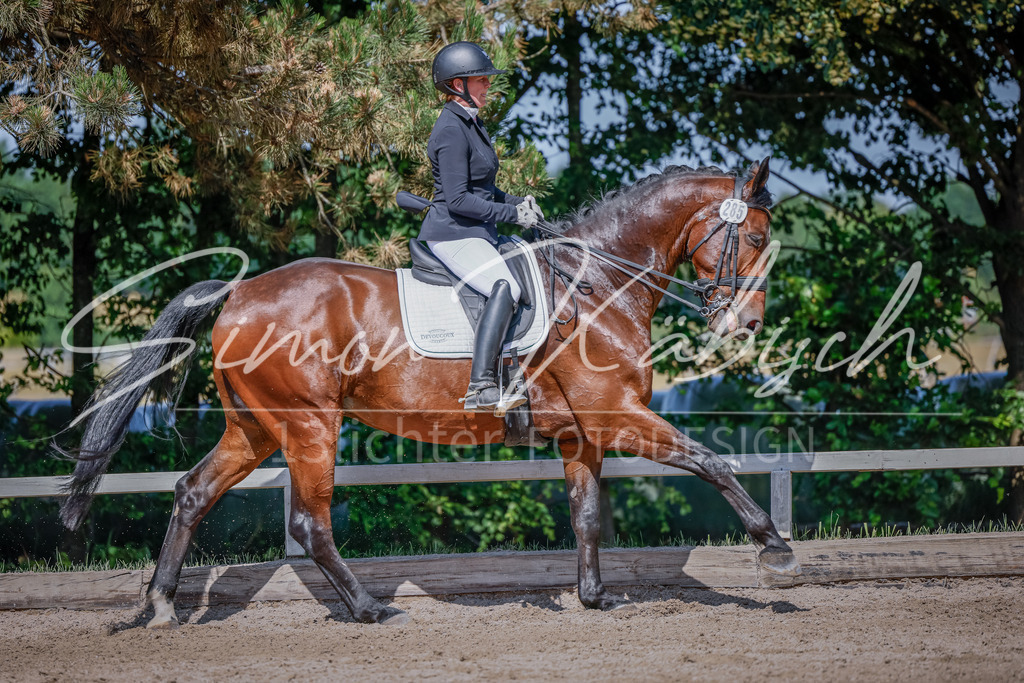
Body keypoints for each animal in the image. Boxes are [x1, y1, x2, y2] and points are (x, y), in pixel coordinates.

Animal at [58, 157, 801, 628]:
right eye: (754, 237)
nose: (747, 325)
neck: (597, 284)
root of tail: (238, 293)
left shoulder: (580, 432)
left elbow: (588, 515)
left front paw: (595, 598)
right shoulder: (617, 416)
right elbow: (708, 460)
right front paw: (775, 549)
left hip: (256, 427)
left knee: (193, 492)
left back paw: (160, 606)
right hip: (308, 425)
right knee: (309, 523)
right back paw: (368, 608)